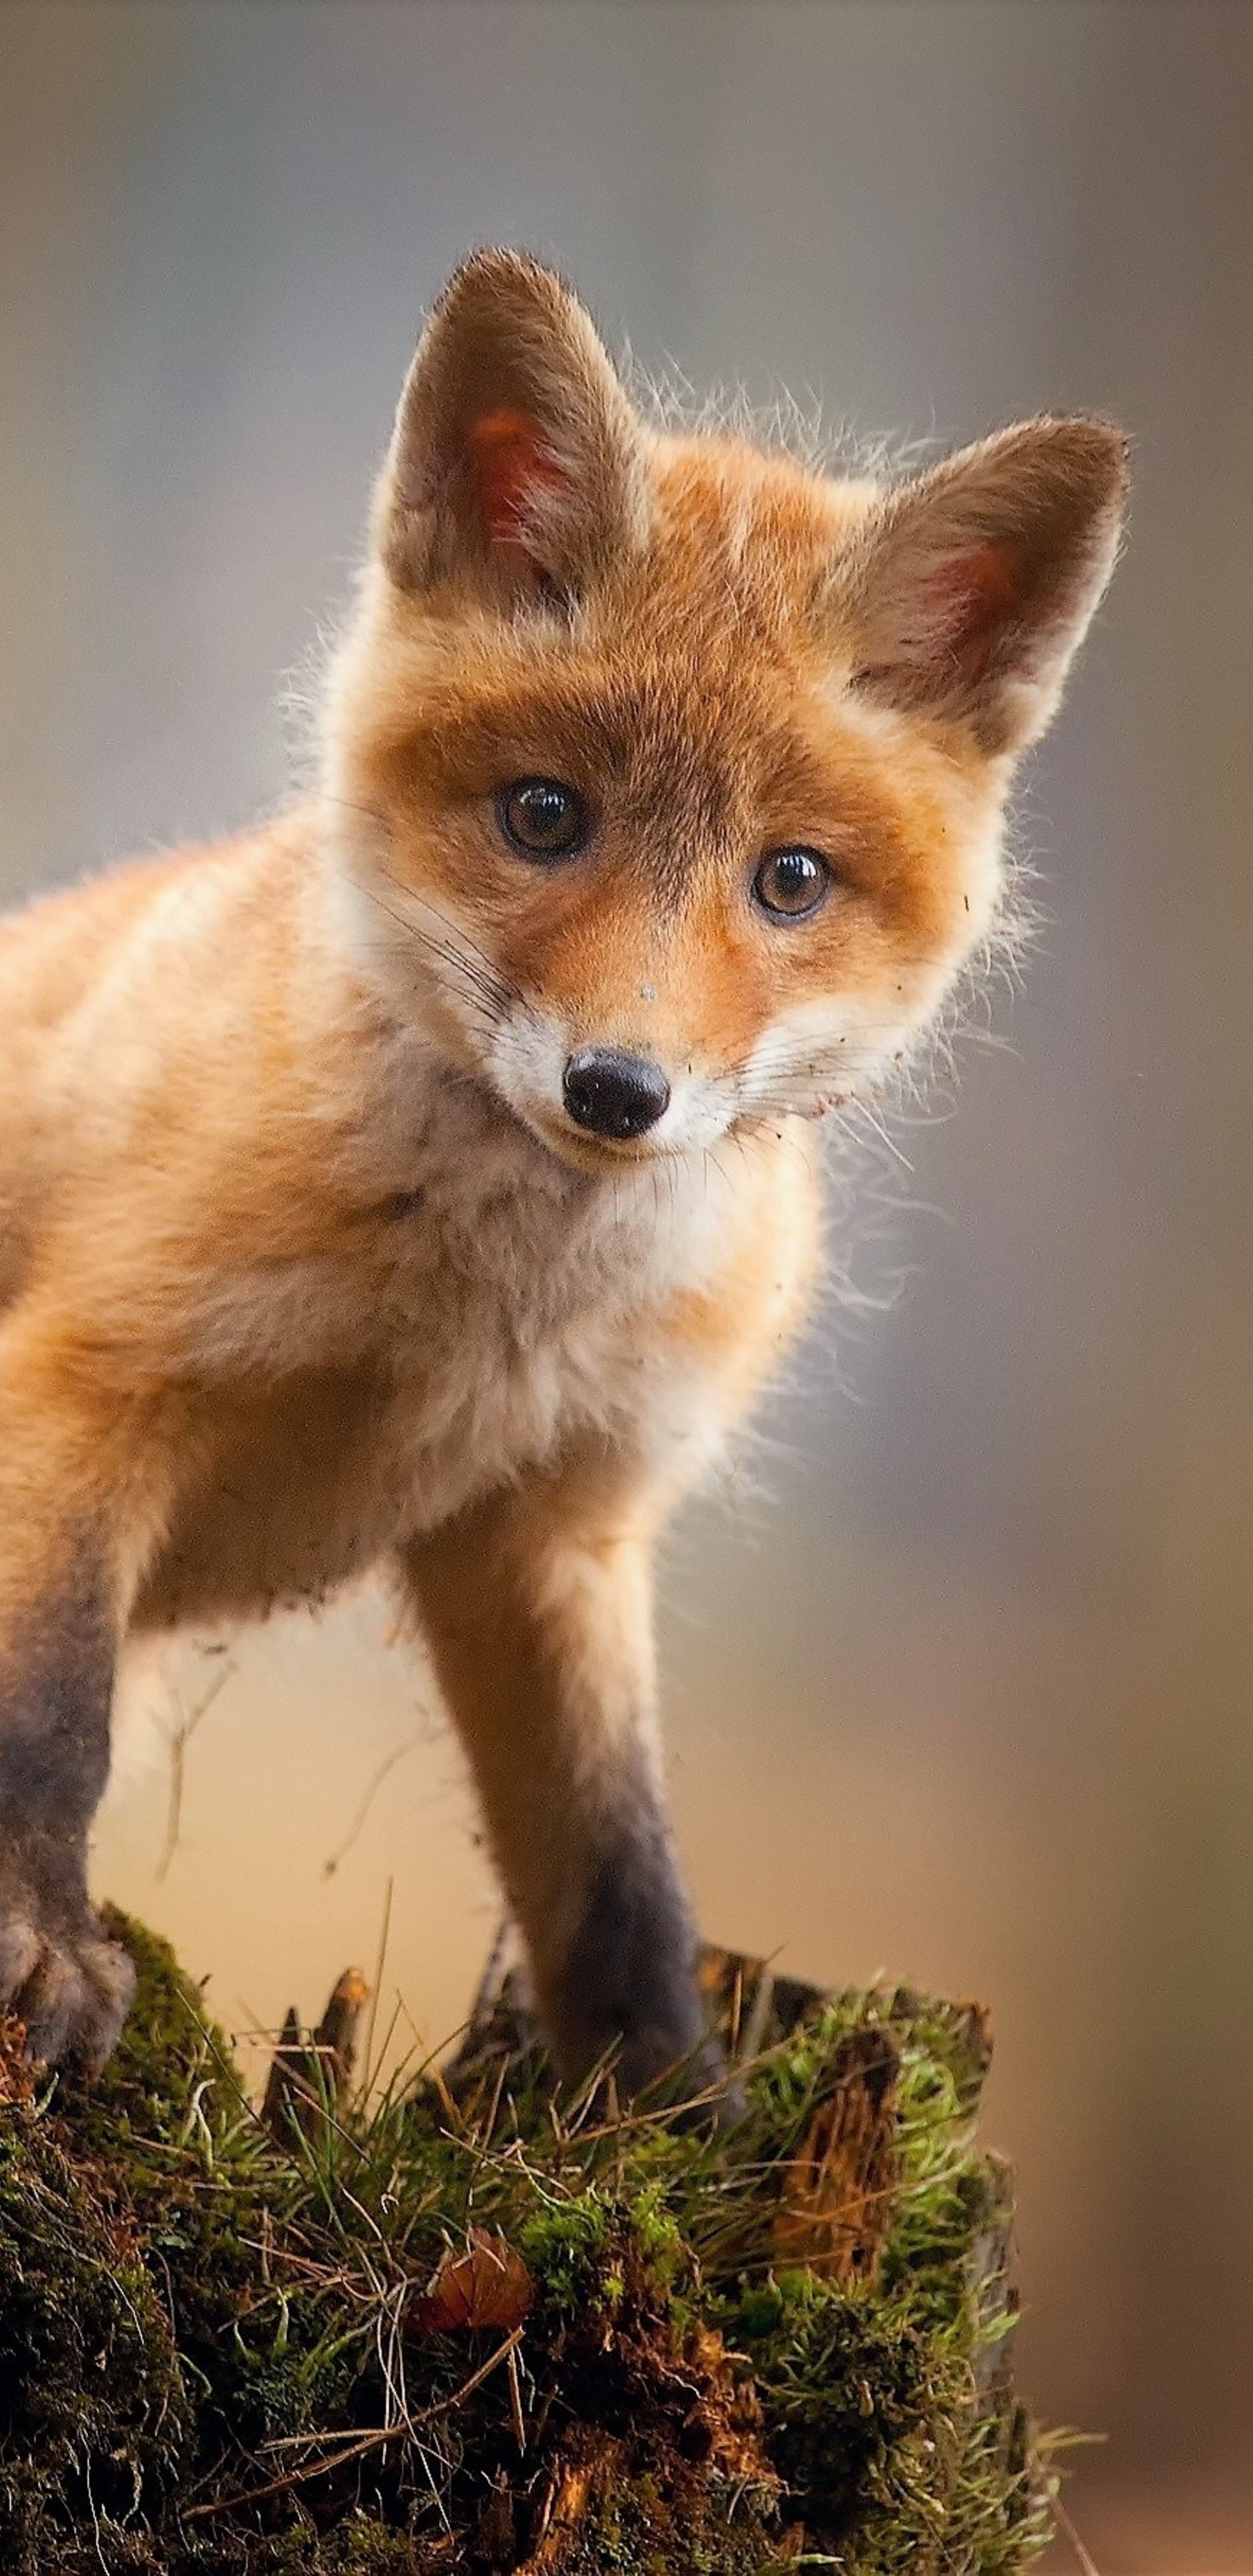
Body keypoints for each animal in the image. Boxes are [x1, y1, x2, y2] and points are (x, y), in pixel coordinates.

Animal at [0, 250, 1126, 2089]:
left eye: (790, 880)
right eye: (544, 817)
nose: (619, 1090)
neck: (485, 1316)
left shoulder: (555, 1531)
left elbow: (618, 1876)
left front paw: (675, 2108)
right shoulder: (84, 1385)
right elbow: (46, 1722)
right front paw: (37, 1945)